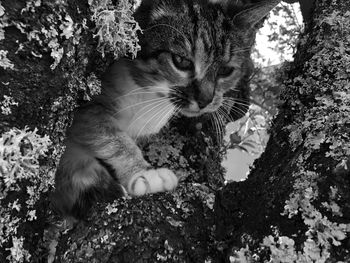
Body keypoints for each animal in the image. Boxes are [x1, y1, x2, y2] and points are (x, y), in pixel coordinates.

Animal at [51, 0, 278, 219]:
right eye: (181, 61)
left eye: (226, 70)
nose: (205, 99)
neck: (148, 97)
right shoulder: (86, 108)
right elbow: (111, 137)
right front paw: (145, 173)